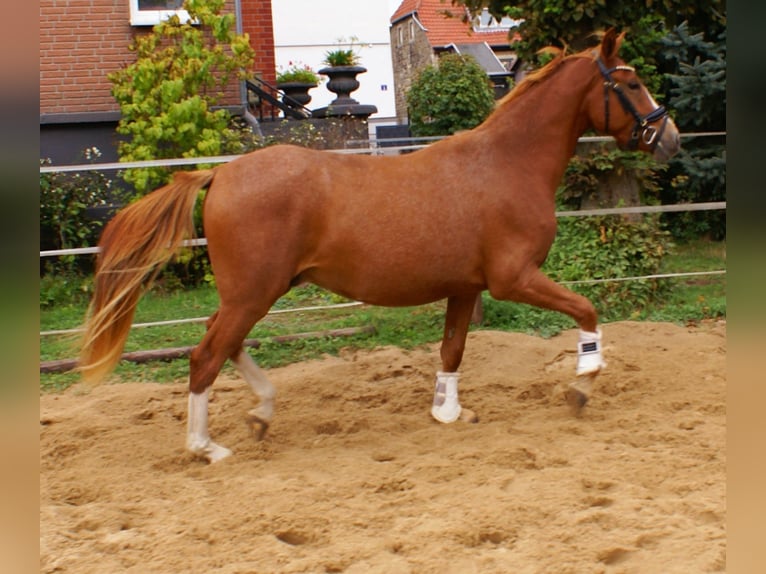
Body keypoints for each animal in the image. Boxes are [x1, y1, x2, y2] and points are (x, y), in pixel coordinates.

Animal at [81, 30, 680, 464]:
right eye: (631, 85)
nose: (670, 138)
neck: (507, 164)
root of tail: (220, 173)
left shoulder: (466, 287)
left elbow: (452, 351)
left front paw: (448, 414)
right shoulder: (515, 278)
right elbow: (586, 308)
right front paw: (583, 383)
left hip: (251, 293)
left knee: (221, 344)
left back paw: (262, 413)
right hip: (254, 292)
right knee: (206, 354)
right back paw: (206, 447)